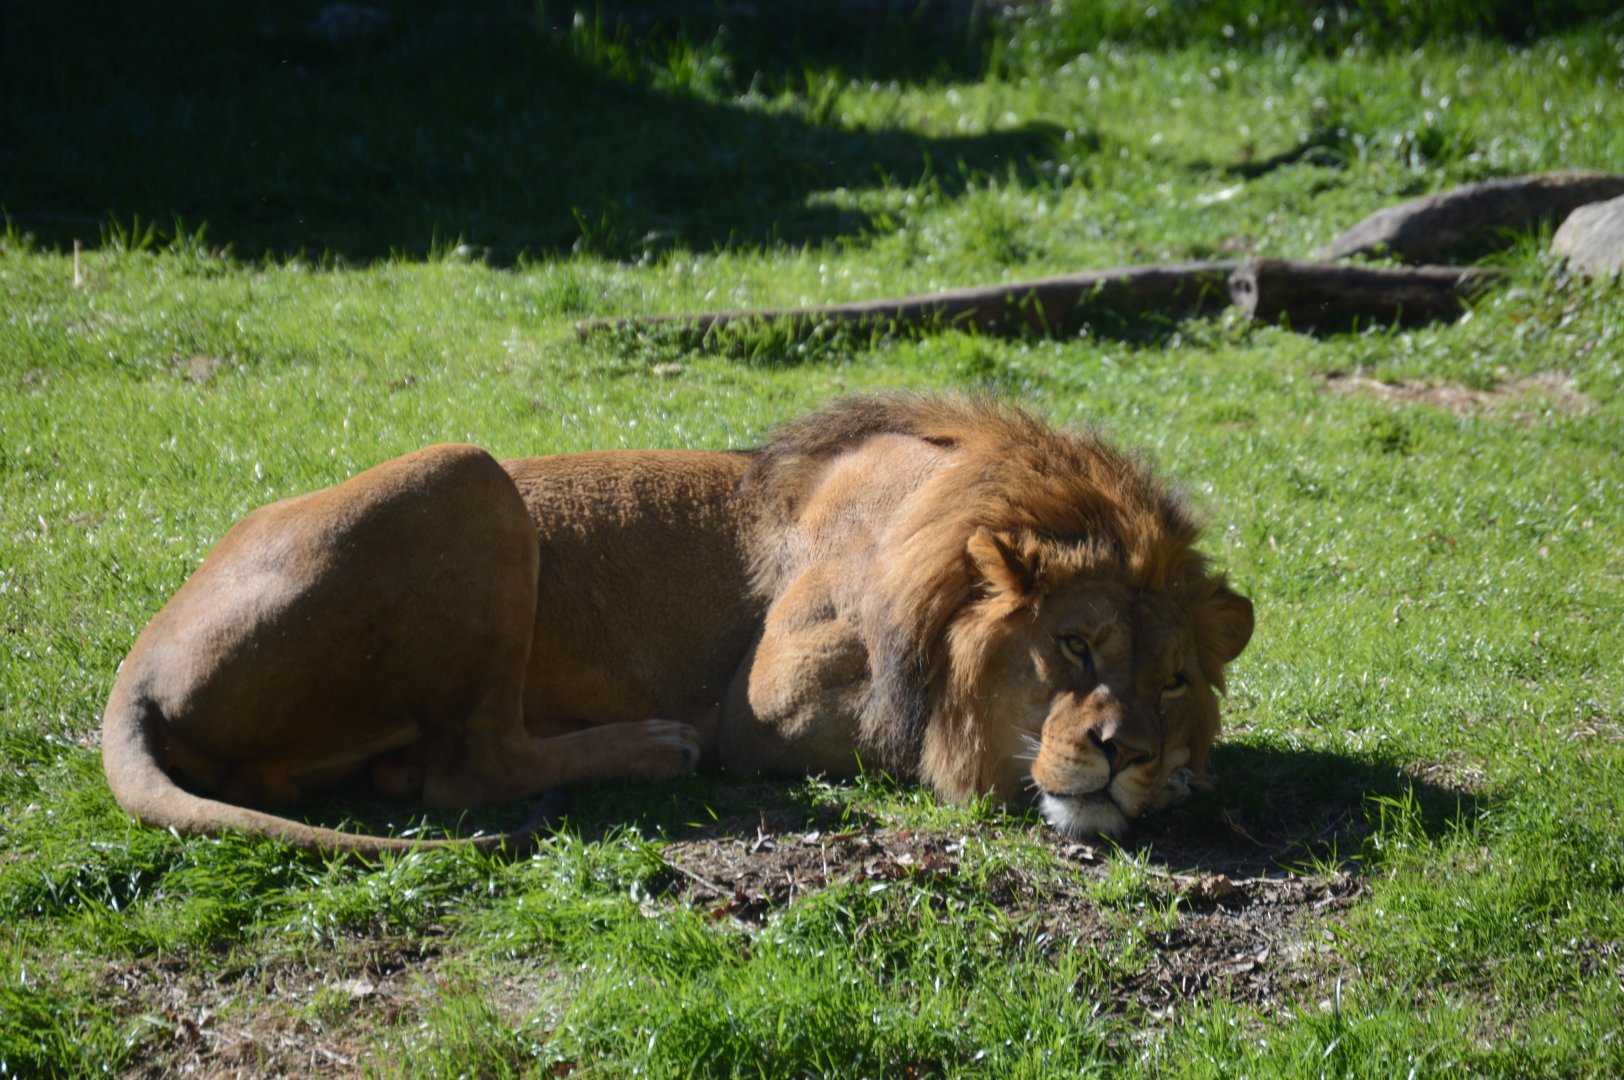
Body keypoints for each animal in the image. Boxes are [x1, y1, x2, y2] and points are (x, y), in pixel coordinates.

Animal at [102, 394, 1252, 854]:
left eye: (1175, 681)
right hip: (468, 476)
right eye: (1074, 645)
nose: (1126, 752)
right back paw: (652, 749)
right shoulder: (770, 702)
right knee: (470, 768)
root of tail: (139, 668)